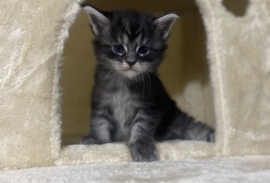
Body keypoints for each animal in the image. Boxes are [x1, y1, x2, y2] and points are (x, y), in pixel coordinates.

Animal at [80, 4, 215, 162]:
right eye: (118, 48)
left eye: (143, 50)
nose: (131, 62)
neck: (124, 83)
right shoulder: (101, 102)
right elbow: (99, 122)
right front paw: (97, 139)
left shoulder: (151, 105)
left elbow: (142, 127)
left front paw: (141, 146)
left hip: (175, 117)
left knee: (193, 127)